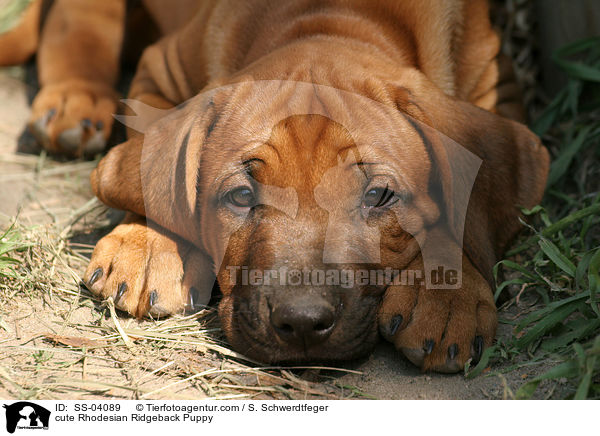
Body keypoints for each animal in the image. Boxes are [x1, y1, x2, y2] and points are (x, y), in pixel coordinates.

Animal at [2, 0, 552, 372]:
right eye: (242, 196)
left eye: (377, 196)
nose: (303, 323)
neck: (329, 17)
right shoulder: (163, 69)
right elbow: (150, 169)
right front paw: (152, 242)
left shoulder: (496, 85)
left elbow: (468, 204)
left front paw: (446, 293)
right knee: (77, 26)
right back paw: (75, 101)